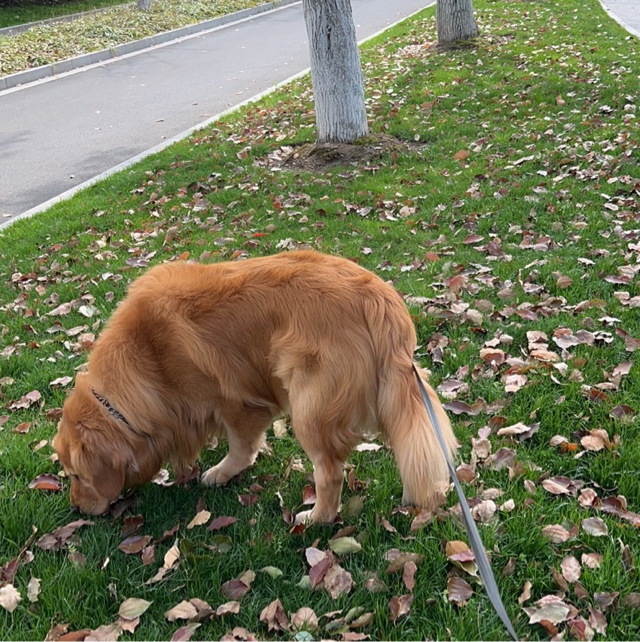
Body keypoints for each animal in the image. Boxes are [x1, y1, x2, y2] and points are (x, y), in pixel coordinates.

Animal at [53, 251, 457, 522]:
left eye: (77, 476)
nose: (75, 507)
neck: (147, 356)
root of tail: (376, 296)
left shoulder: (234, 401)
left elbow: (241, 447)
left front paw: (220, 472)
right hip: (400, 388)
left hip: (309, 407)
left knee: (329, 472)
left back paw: (316, 517)